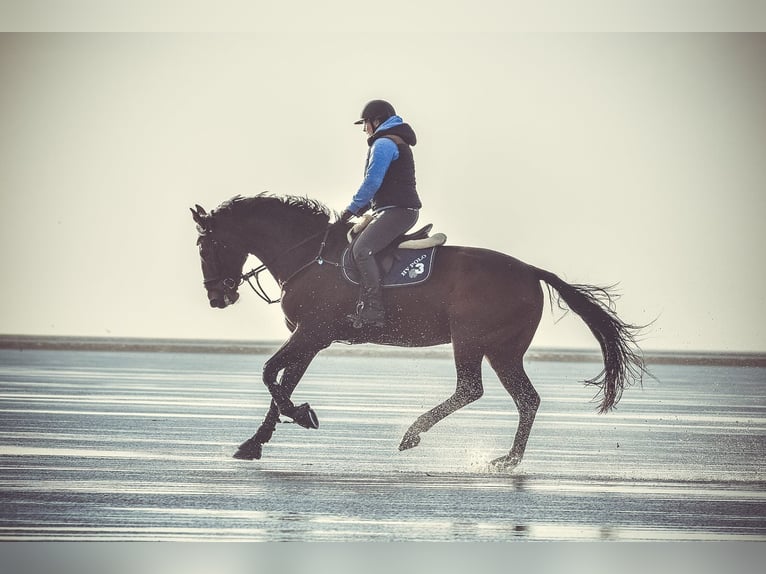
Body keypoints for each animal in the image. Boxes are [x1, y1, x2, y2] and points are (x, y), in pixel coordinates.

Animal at [191, 193, 648, 469]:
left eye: (206, 246)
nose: (217, 297)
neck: (309, 255)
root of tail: (531, 271)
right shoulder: (310, 339)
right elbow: (282, 383)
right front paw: (256, 442)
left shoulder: (312, 333)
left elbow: (270, 374)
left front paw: (302, 416)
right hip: (504, 350)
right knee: (526, 399)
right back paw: (508, 459)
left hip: (472, 340)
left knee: (472, 389)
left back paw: (414, 434)